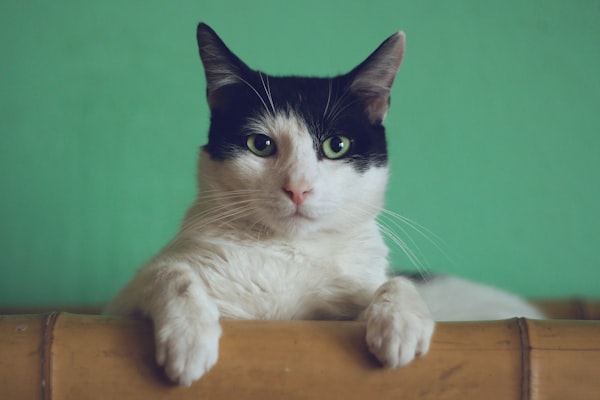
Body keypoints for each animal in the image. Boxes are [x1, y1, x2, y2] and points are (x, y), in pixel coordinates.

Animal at [103, 22, 544, 388]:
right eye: (259, 144)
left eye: (337, 146)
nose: (298, 188)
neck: (288, 254)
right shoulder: (119, 304)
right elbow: (171, 273)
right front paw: (190, 338)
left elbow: (392, 282)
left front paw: (399, 323)